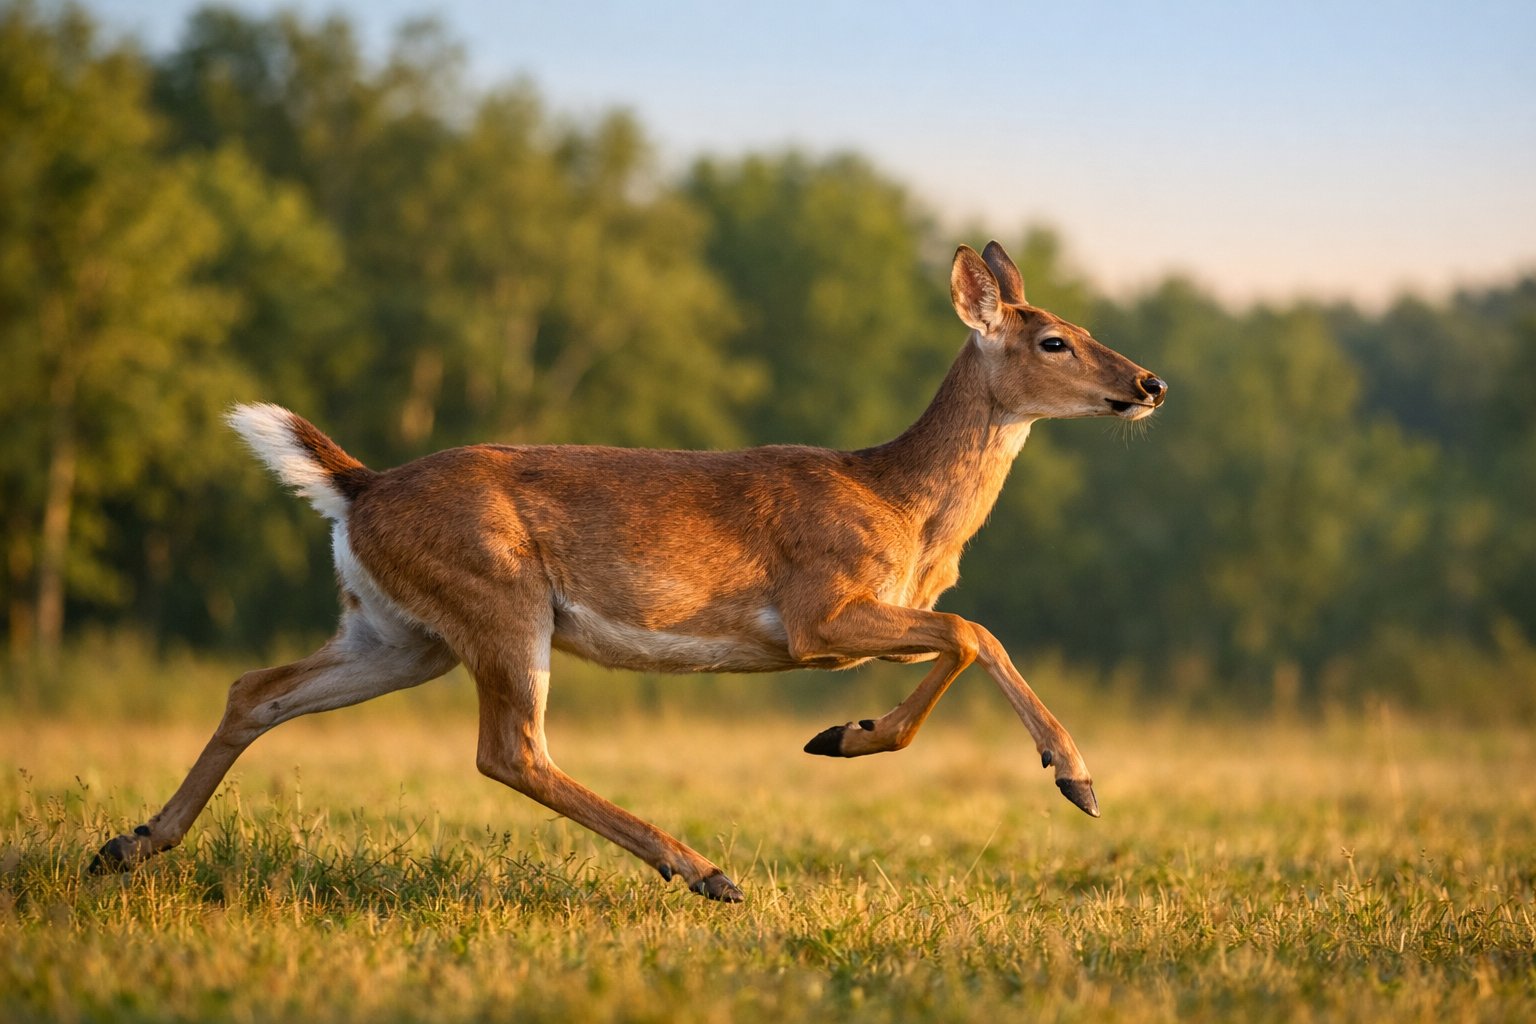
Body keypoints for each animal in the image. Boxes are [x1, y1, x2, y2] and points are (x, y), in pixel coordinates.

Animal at [90, 241, 1166, 902]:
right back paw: (704, 870)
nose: (1149, 382)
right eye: (1053, 339)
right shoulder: (816, 611)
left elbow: (957, 637)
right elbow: (975, 631)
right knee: (510, 749)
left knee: (258, 688)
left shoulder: (857, 626)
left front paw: (849, 734)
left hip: (398, 630)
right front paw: (1072, 777)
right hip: (499, 597)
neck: (901, 504)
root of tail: (359, 486)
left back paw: (128, 845)